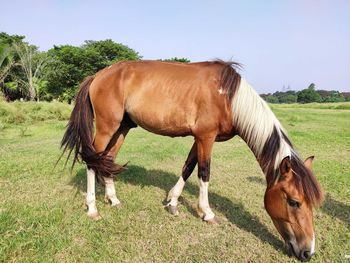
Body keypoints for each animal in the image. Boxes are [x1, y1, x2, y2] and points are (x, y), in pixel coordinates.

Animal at [60, 60, 322, 262]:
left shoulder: (200, 139)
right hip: (107, 127)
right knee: (91, 161)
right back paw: (93, 208)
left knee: (107, 160)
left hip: (122, 127)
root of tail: (98, 75)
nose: (308, 252)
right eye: (294, 202)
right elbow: (204, 173)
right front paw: (207, 213)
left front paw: (173, 202)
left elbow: (187, 167)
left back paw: (113, 199)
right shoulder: (206, 137)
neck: (228, 97)